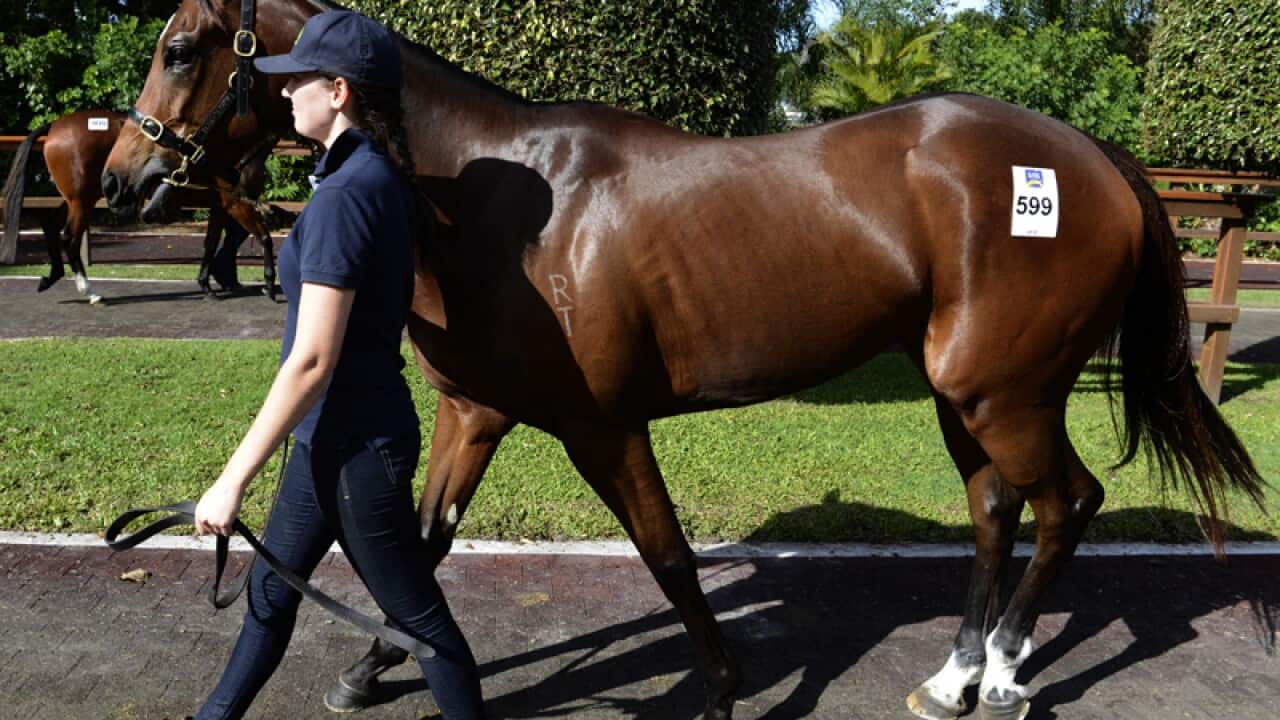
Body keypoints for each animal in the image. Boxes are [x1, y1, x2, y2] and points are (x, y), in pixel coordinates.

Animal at [2, 109, 283, 300]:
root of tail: (55, 126)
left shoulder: (220, 206)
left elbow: (211, 244)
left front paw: (207, 285)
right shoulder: (235, 203)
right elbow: (264, 237)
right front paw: (269, 284)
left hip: (76, 198)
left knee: (50, 224)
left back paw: (51, 277)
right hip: (82, 201)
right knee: (70, 237)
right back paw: (88, 290)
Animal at [102, 2, 1266, 719]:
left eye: (180, 46)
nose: (121, 179)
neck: (497, 198)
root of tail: (1093, 160)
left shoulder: (601, 426)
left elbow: (665, 555)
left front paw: (721, 681)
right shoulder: (475, 413)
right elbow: (422, 545)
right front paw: (371, 664)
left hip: (1004, 392)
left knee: (1066, 503)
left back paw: (1009, 680)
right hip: (963, 391)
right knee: (995, 511)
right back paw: (953, 677)